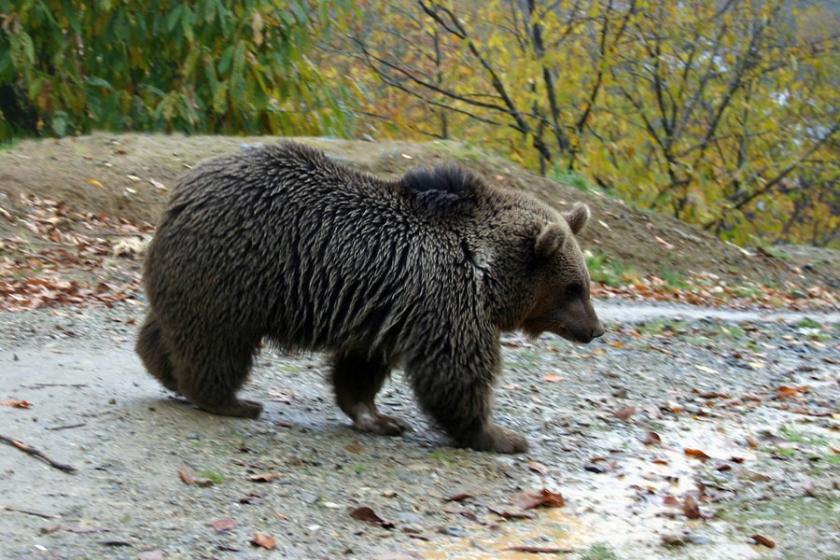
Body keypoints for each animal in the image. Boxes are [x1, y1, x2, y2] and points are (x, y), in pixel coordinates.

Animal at [136, 142, 604, 452]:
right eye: (574, 287)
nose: (596, 329)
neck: (486, 272)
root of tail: (182, 188)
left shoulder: (386, 310)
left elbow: (360, 369)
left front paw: (379, 417)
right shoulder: (446, 303)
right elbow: (456, 374)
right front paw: (501, 435)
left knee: (168, 329)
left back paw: (165, 370)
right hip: (238, 273)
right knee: (217, 343)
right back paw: (231, 400)